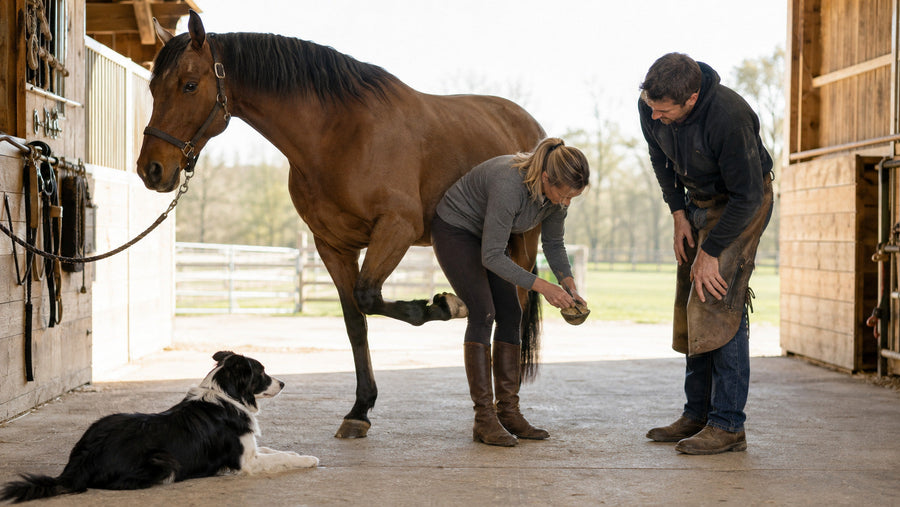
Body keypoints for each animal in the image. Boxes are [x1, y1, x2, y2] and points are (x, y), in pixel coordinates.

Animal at [136, 11, 546, 439]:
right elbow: (355, 322)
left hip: (520, 244)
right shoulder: (332, 245)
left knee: (514, 311)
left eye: (189, 85)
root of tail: (531, 128)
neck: (340, 134)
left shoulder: (395, 228)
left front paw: (445, 304)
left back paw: (508, 408)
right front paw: (359, 410)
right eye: (153, 88)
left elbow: (369, 296)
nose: (152, 169)